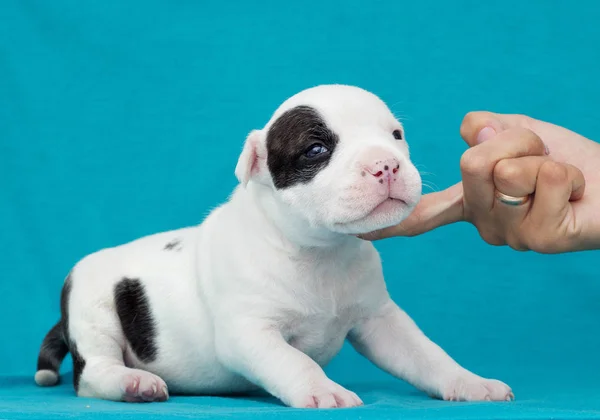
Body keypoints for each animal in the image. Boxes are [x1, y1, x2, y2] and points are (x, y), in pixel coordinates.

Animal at [32, 83, 512, 408]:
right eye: (316, 149)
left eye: (395, 135)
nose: (387, 165)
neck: (320, 250)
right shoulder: (250, 332)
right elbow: (294, 361)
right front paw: (323, 390)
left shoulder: (380, 320)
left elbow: (425, 354)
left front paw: (469, 382)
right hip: (95, 312)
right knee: (93, 372)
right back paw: (133, 383)